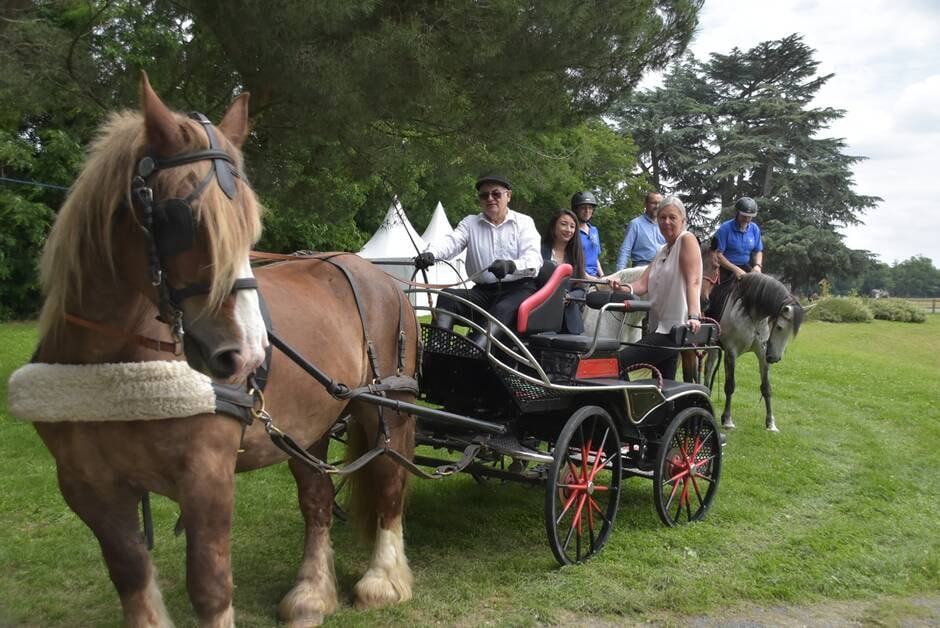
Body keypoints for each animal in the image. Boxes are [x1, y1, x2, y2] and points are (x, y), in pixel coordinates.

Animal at [700, 245, 804, 432]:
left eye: (790, 334)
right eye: (779, 327)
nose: (775, 358)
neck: (752, 313)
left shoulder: (762, 353)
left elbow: (766, 388)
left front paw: (771, 423)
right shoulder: (731, 352)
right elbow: (730, 385)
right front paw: (727, 420)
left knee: (709, 366)